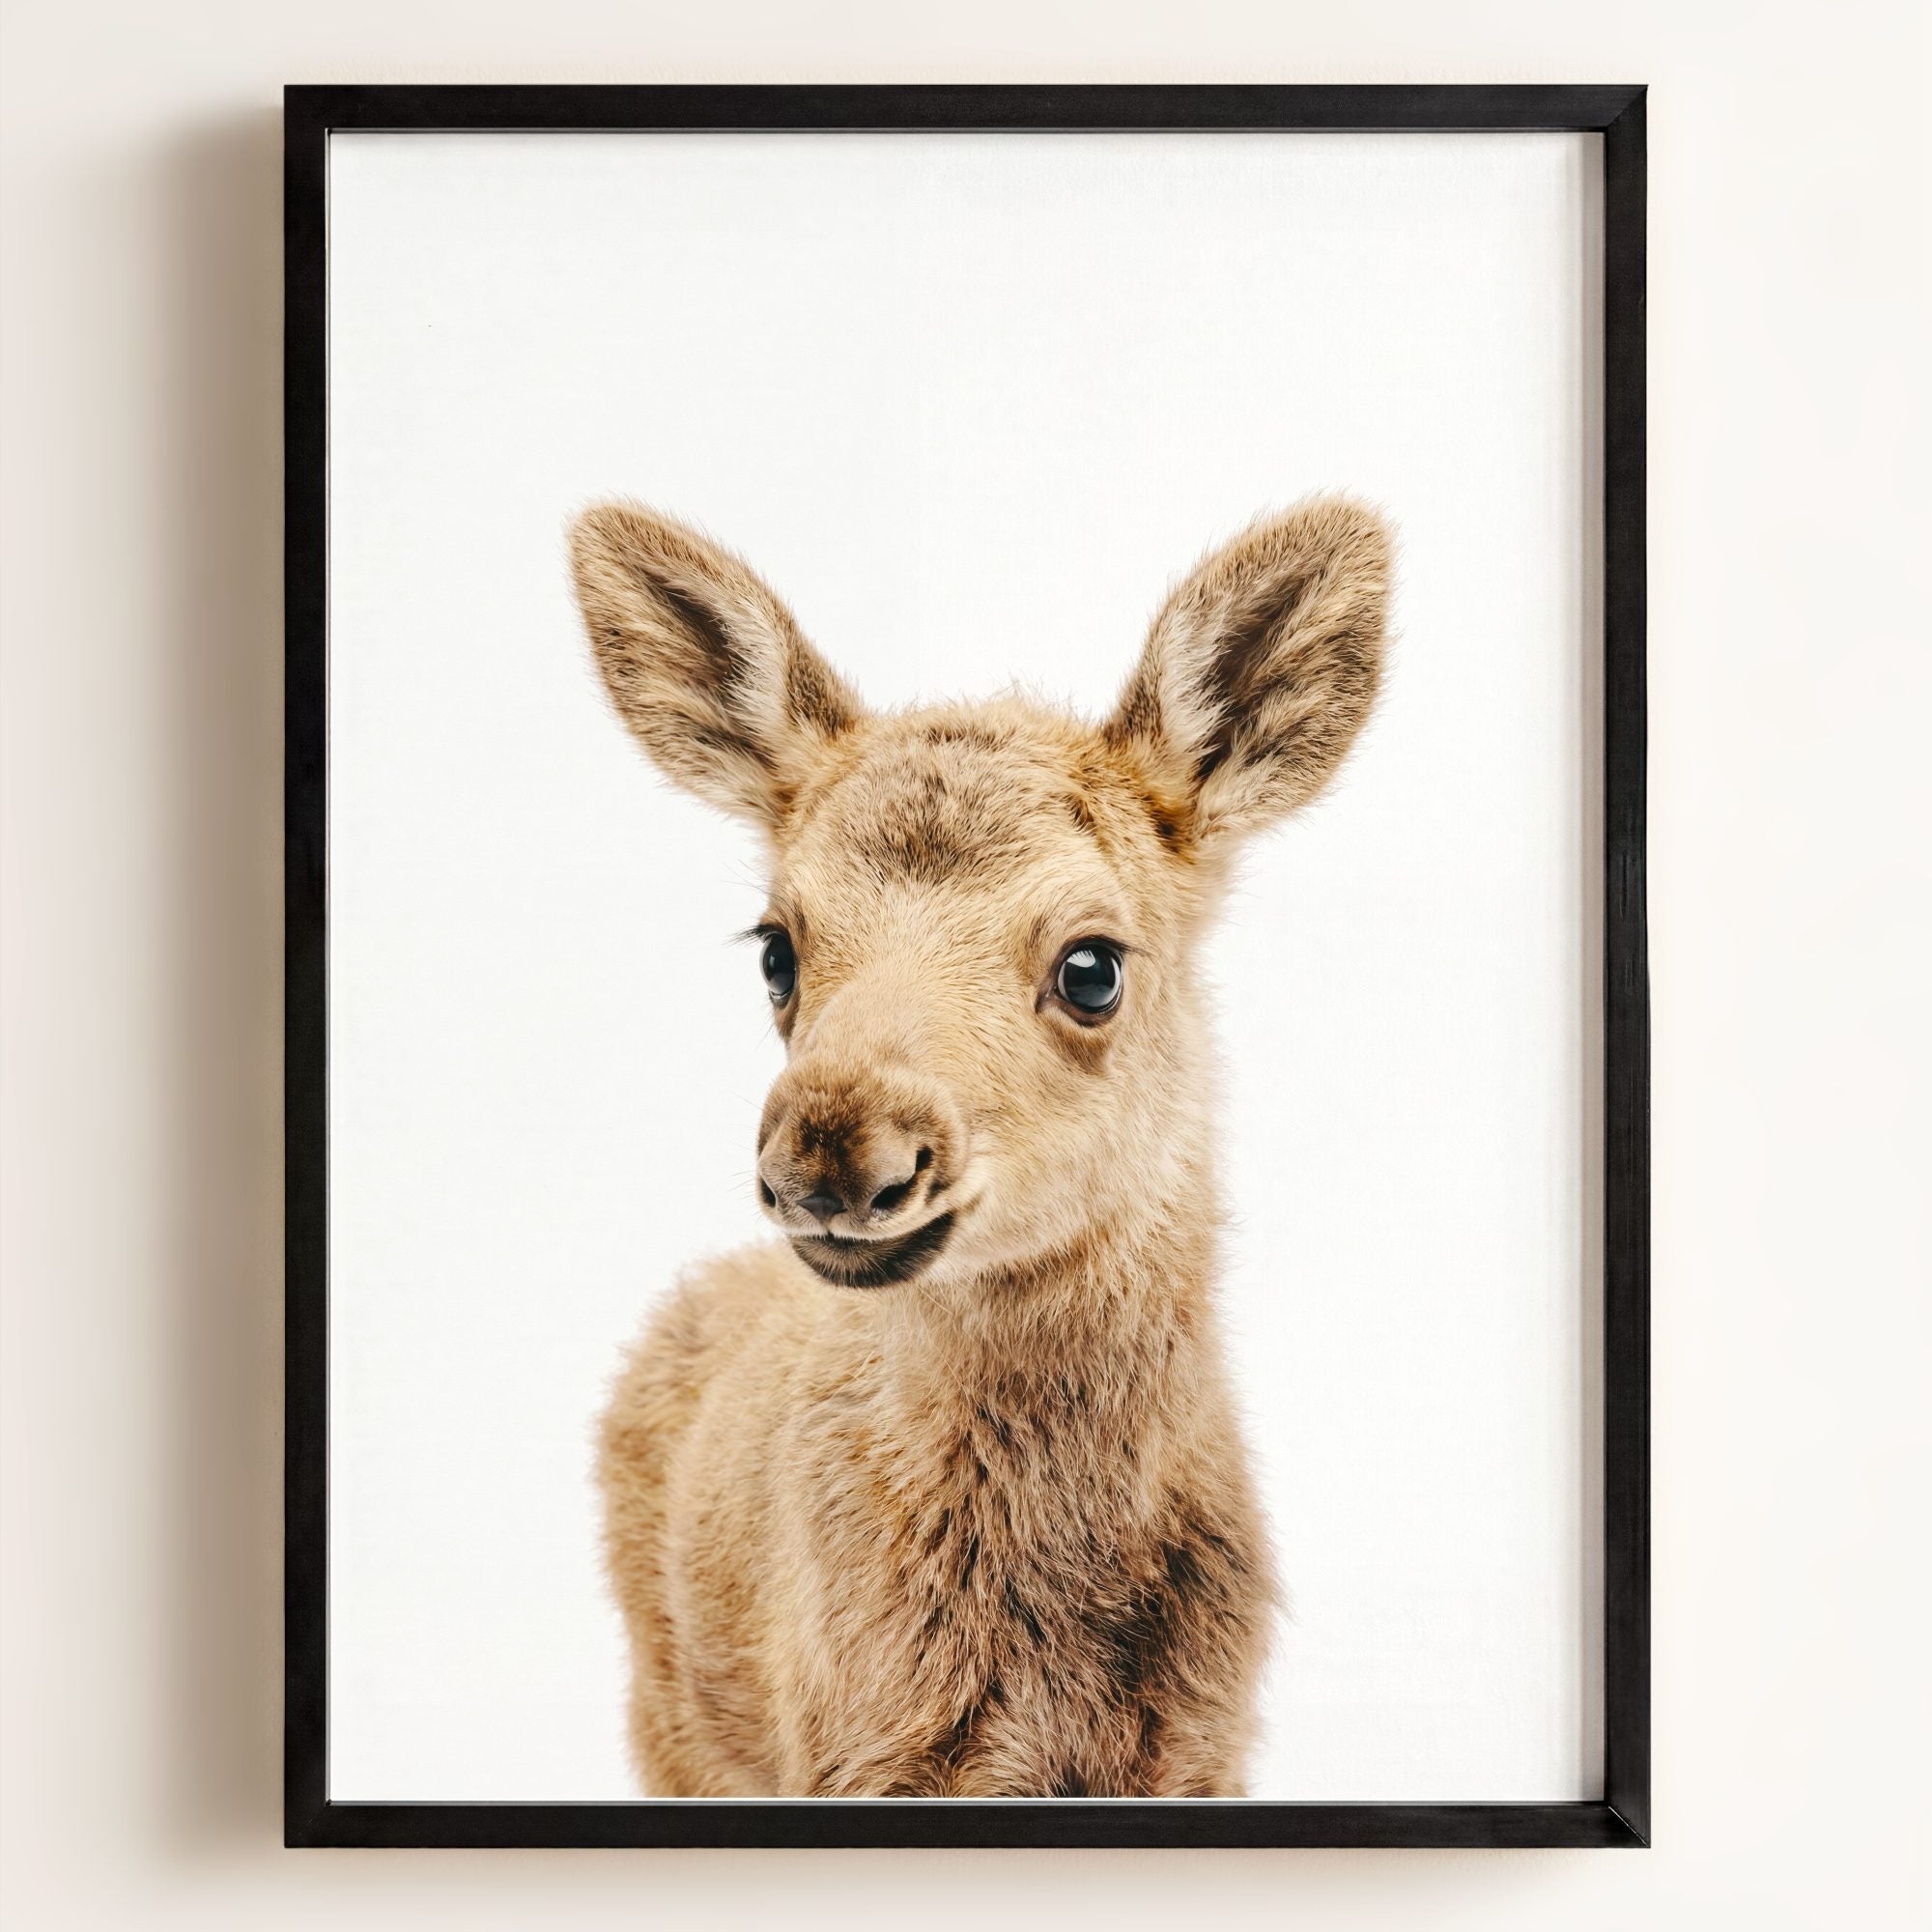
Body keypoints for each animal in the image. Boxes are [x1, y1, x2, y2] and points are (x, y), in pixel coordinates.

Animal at [570, 493, 1392, 1797]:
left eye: (1091, 964)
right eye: (777, 947)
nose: (833, 1151)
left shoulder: (1203, 1749)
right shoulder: (848, 1750)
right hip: (670, 1718)